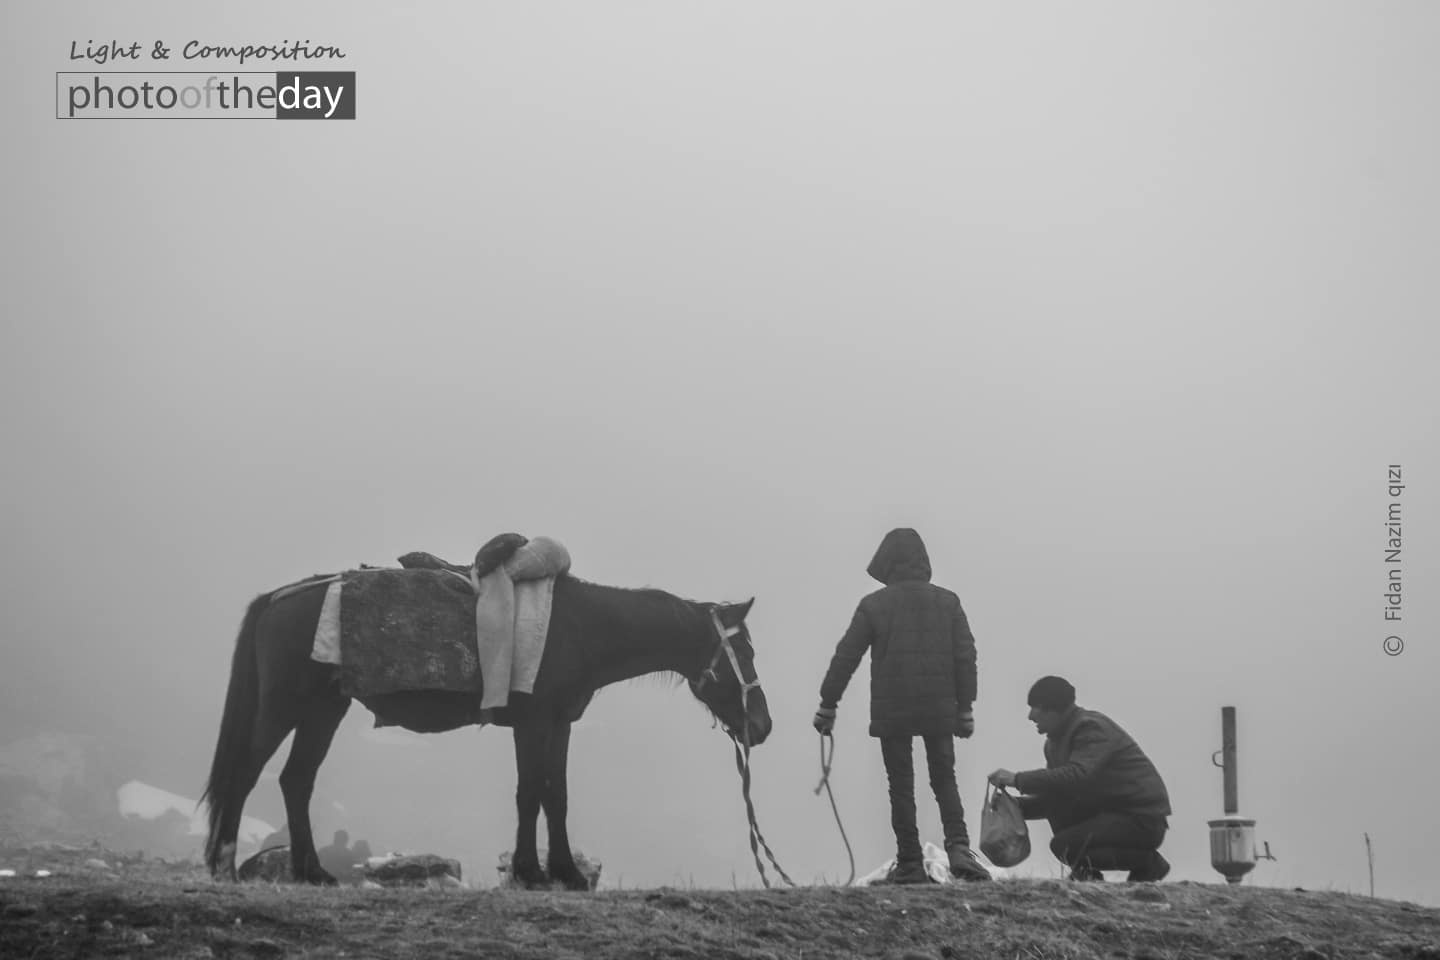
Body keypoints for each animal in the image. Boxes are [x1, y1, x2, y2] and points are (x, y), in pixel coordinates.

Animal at [200, 567, 777, 892]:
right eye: (746, 651)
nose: (763, 724)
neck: (581, 628)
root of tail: (280, 596)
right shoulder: (534, 720)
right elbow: (532, 792)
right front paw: (532, 872)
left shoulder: (559, 723)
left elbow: (554, 794)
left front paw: (562, 873)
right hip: (286, 704)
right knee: (247, 773)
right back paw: (224, 865)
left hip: (324, 708)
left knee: (296, 780)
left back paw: (312, 872)